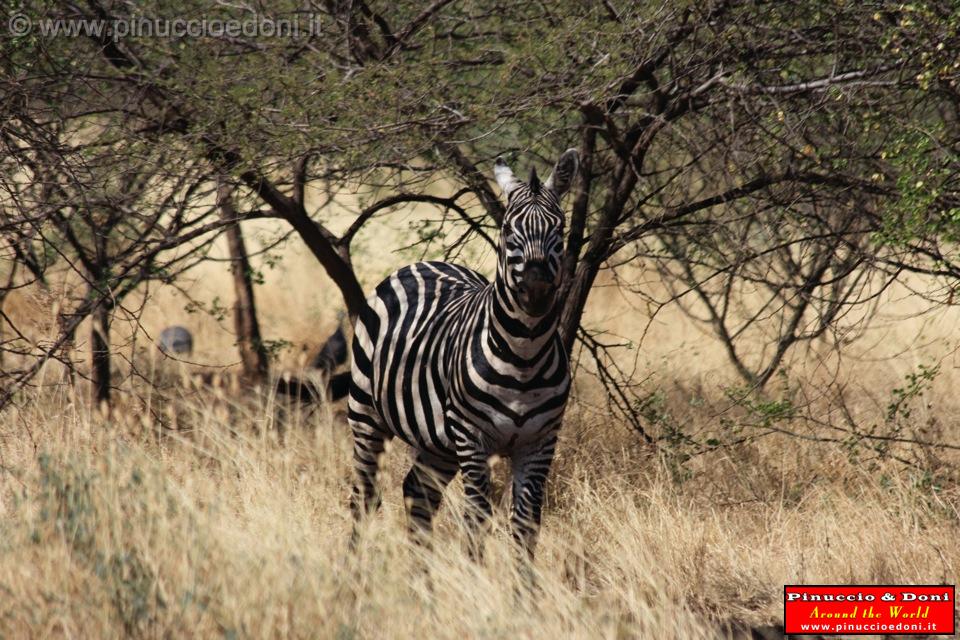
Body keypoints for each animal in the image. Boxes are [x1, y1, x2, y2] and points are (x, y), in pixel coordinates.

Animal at [350, 148, 580, 556]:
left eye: (561, 228)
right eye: (508, 231)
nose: (536, 292)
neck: (524, 356)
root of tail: (424, 262)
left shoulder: (540, 442)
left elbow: (526, 524)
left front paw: (522, 579)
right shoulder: (472, 438)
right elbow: (477, 518)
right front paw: (474, 574)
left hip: (438, 441)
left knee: (418, 492)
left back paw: (420, 570)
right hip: (365, 414)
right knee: (364, 495)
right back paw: (353, 567)